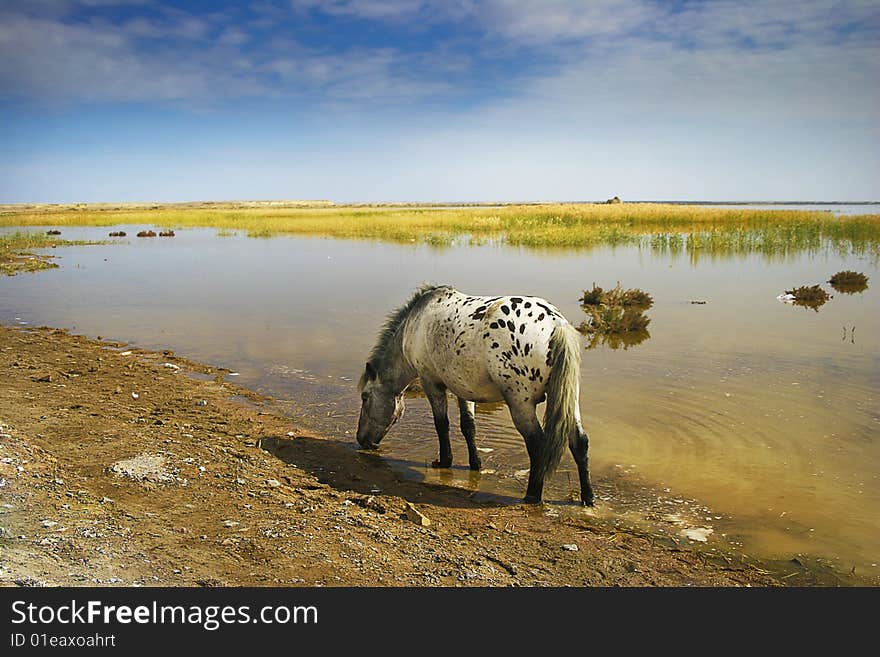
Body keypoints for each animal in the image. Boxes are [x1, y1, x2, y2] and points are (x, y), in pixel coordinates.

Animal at [354, 282, 596, 502]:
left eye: (365, 397)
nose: (362, 439)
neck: (416, 323)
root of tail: (556, 324)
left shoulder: (431, 383)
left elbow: (441, 425)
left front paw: (444, 461)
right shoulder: (463, 388)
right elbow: (468, 427)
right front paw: (475, 463)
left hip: (521, 404)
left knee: (537, 443)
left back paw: (532, 496)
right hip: (568, 400)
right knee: (580, 442)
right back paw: (588, 497)